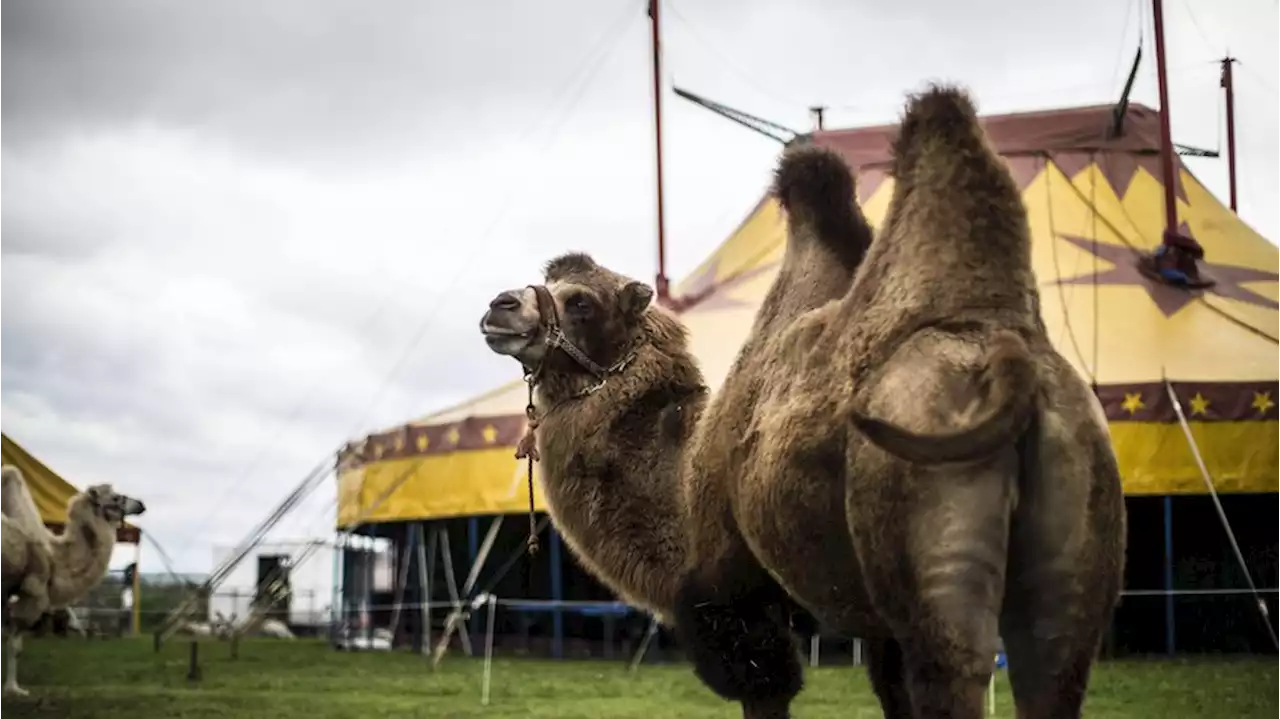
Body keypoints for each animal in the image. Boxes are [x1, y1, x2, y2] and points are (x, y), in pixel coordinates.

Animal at [481, 85, 1121, 716]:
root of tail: (1010, 364)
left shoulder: (735, 605)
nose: (499, 306)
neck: (681, 477)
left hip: (932, 567)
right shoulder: (876, 630)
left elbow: (769, 685)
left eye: (582, 302)